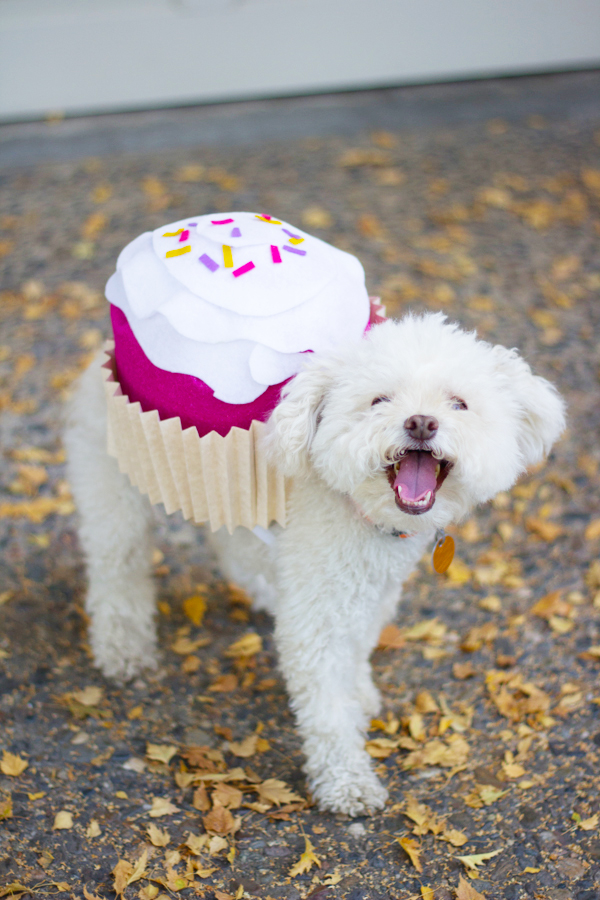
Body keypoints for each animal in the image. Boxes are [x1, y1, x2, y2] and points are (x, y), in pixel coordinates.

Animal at [65, 314, 568, 816]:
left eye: (459, 403)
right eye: (379, 400)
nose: (422, 423)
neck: (361, 512)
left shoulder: (373, 591)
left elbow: (358, 650)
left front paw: (359, 692)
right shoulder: (318, 619)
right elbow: (327, 711)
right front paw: (348, 783)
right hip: (115, 492)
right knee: (117, 569)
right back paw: (123, 650)